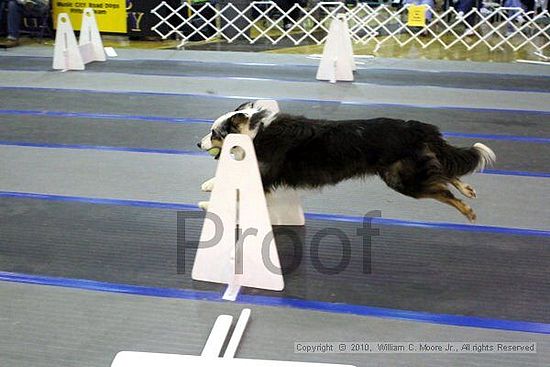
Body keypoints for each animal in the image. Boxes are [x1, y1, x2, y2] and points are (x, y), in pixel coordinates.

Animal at [197, 99, 496, 223]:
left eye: (214, 133)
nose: (197, 144)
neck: (256, 132)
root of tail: (414, 126)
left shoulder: (264, 173)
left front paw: (208, 197)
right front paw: (209, 187)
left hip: (403, 179)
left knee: (443, 189)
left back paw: (467, 211)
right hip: (409, 171)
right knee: (444, 171)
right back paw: (468, 190)